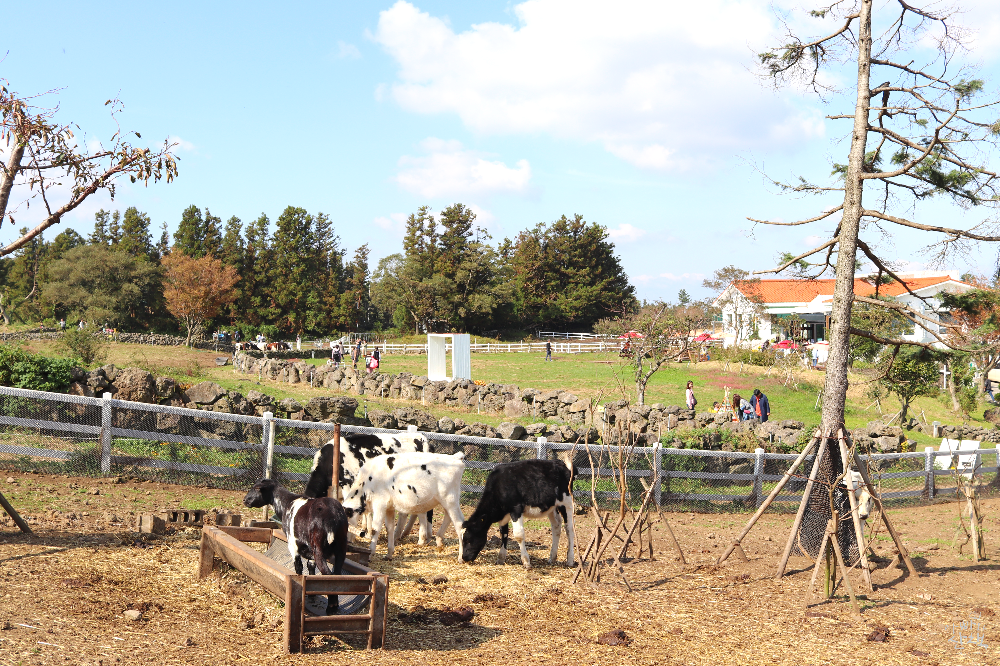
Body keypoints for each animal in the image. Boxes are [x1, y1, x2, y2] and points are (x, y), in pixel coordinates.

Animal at [243, 478, 350, 612]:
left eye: (256, 488)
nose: (244, 500)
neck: (286, 504)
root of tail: (333, 518)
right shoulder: (310, 550)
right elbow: (310, 568)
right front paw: (312, 596)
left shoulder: (292, 544)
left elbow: (298, 568)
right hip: (340, 547)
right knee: (337, 574)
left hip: (319, 548)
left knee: (328, 575)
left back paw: (331, 607)